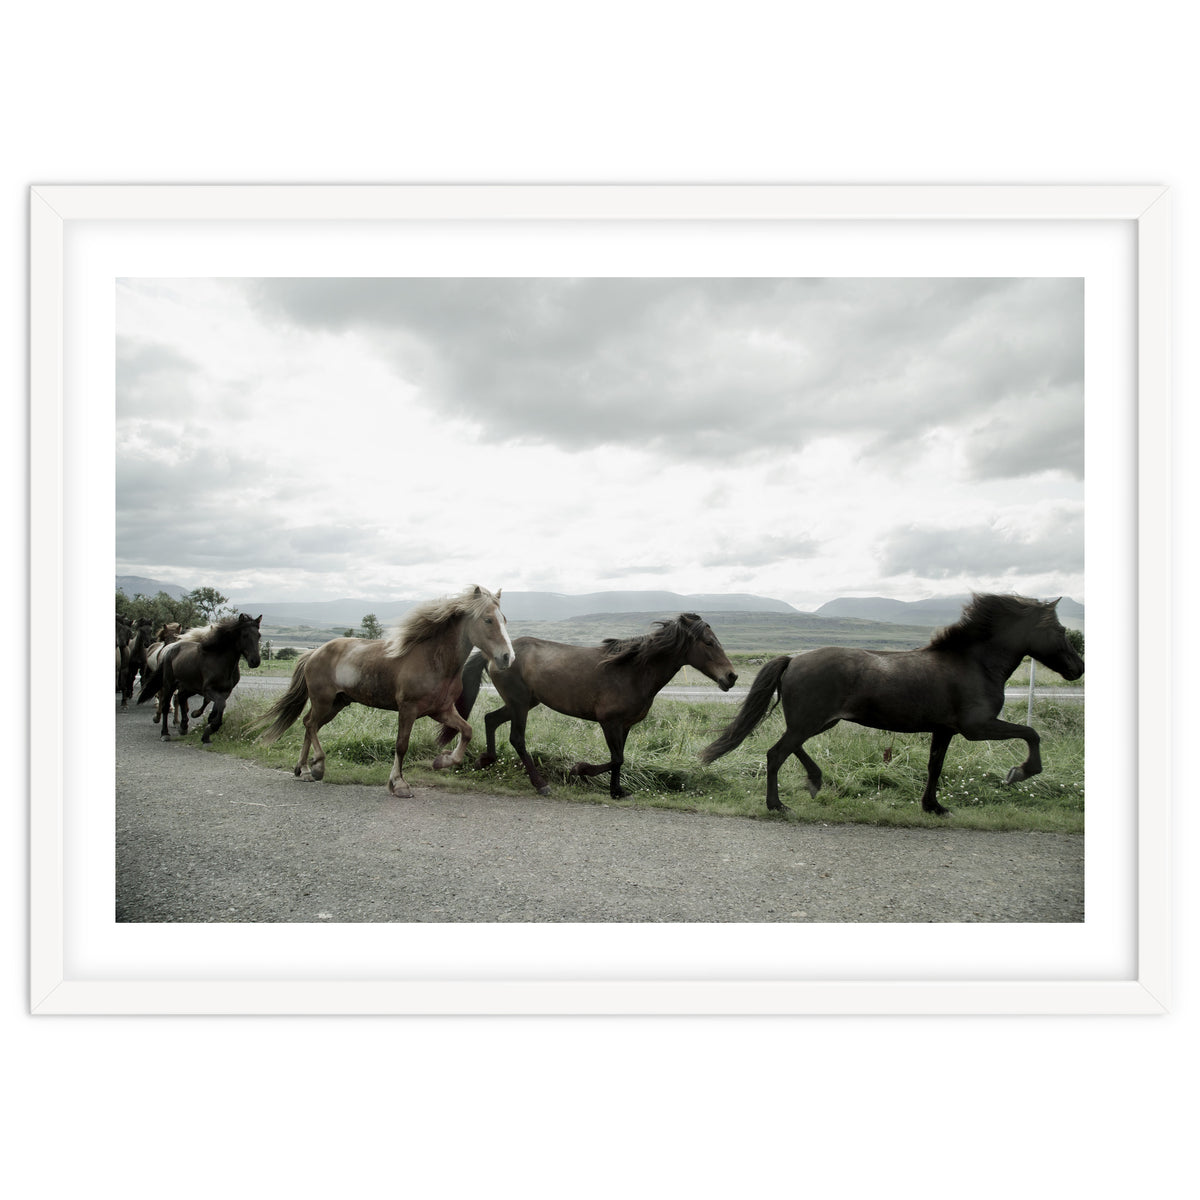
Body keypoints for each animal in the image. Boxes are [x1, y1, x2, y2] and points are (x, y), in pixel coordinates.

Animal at [137, 613, 262, 744]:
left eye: (259, 635)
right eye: (245, 635)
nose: (255, 661)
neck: (220, 661)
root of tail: (170, 649)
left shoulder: (226, 691)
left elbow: (218, 705)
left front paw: (207, 724)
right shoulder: (208, 689)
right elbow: (220, 704)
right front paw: (210, 728)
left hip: (189, 687)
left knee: (181, 697)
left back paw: (183, 726)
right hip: (169, 684)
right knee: (166, 705)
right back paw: (165, 733)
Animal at [251, 586, 514, 798]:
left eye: (505, 619)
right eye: (488, 620)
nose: (507, 657)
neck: (433, 660)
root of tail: (313, 653)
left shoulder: (441, 710)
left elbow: (467, 731)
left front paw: (441, 761)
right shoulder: (408, 709)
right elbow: (401, 745)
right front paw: (399, 784)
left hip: (336, 704)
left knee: (309, 724)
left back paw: (304, 769)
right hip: (323, 701)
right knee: (310, 724)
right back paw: (317, 767)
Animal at [452, 613, 738, 798]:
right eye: (709, 642)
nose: (731, 677)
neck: (632, 671)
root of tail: (497, 654)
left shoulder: (625, 726)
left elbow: (619, 759)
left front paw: (617, 791)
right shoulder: (609, 723)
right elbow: (616, 758)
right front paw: (580, 770)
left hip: (524, 702)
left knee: (490, 719)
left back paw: (485, 760)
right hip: (520, 704)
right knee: (517, 739)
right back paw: (540, 784)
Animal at [700, 594, 1084, 816]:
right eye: (1060, 630)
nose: (1078, 668)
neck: (973, 663)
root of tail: (794, 659)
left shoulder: (945, 730)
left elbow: (935, 767)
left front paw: (933, 806)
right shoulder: (977, 727)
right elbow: (1031, 733)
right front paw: (1020, 772)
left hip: (819, 721)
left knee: (789, 749)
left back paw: (814, 781)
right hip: (810, 721)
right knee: (777, 753)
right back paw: (778, 805)